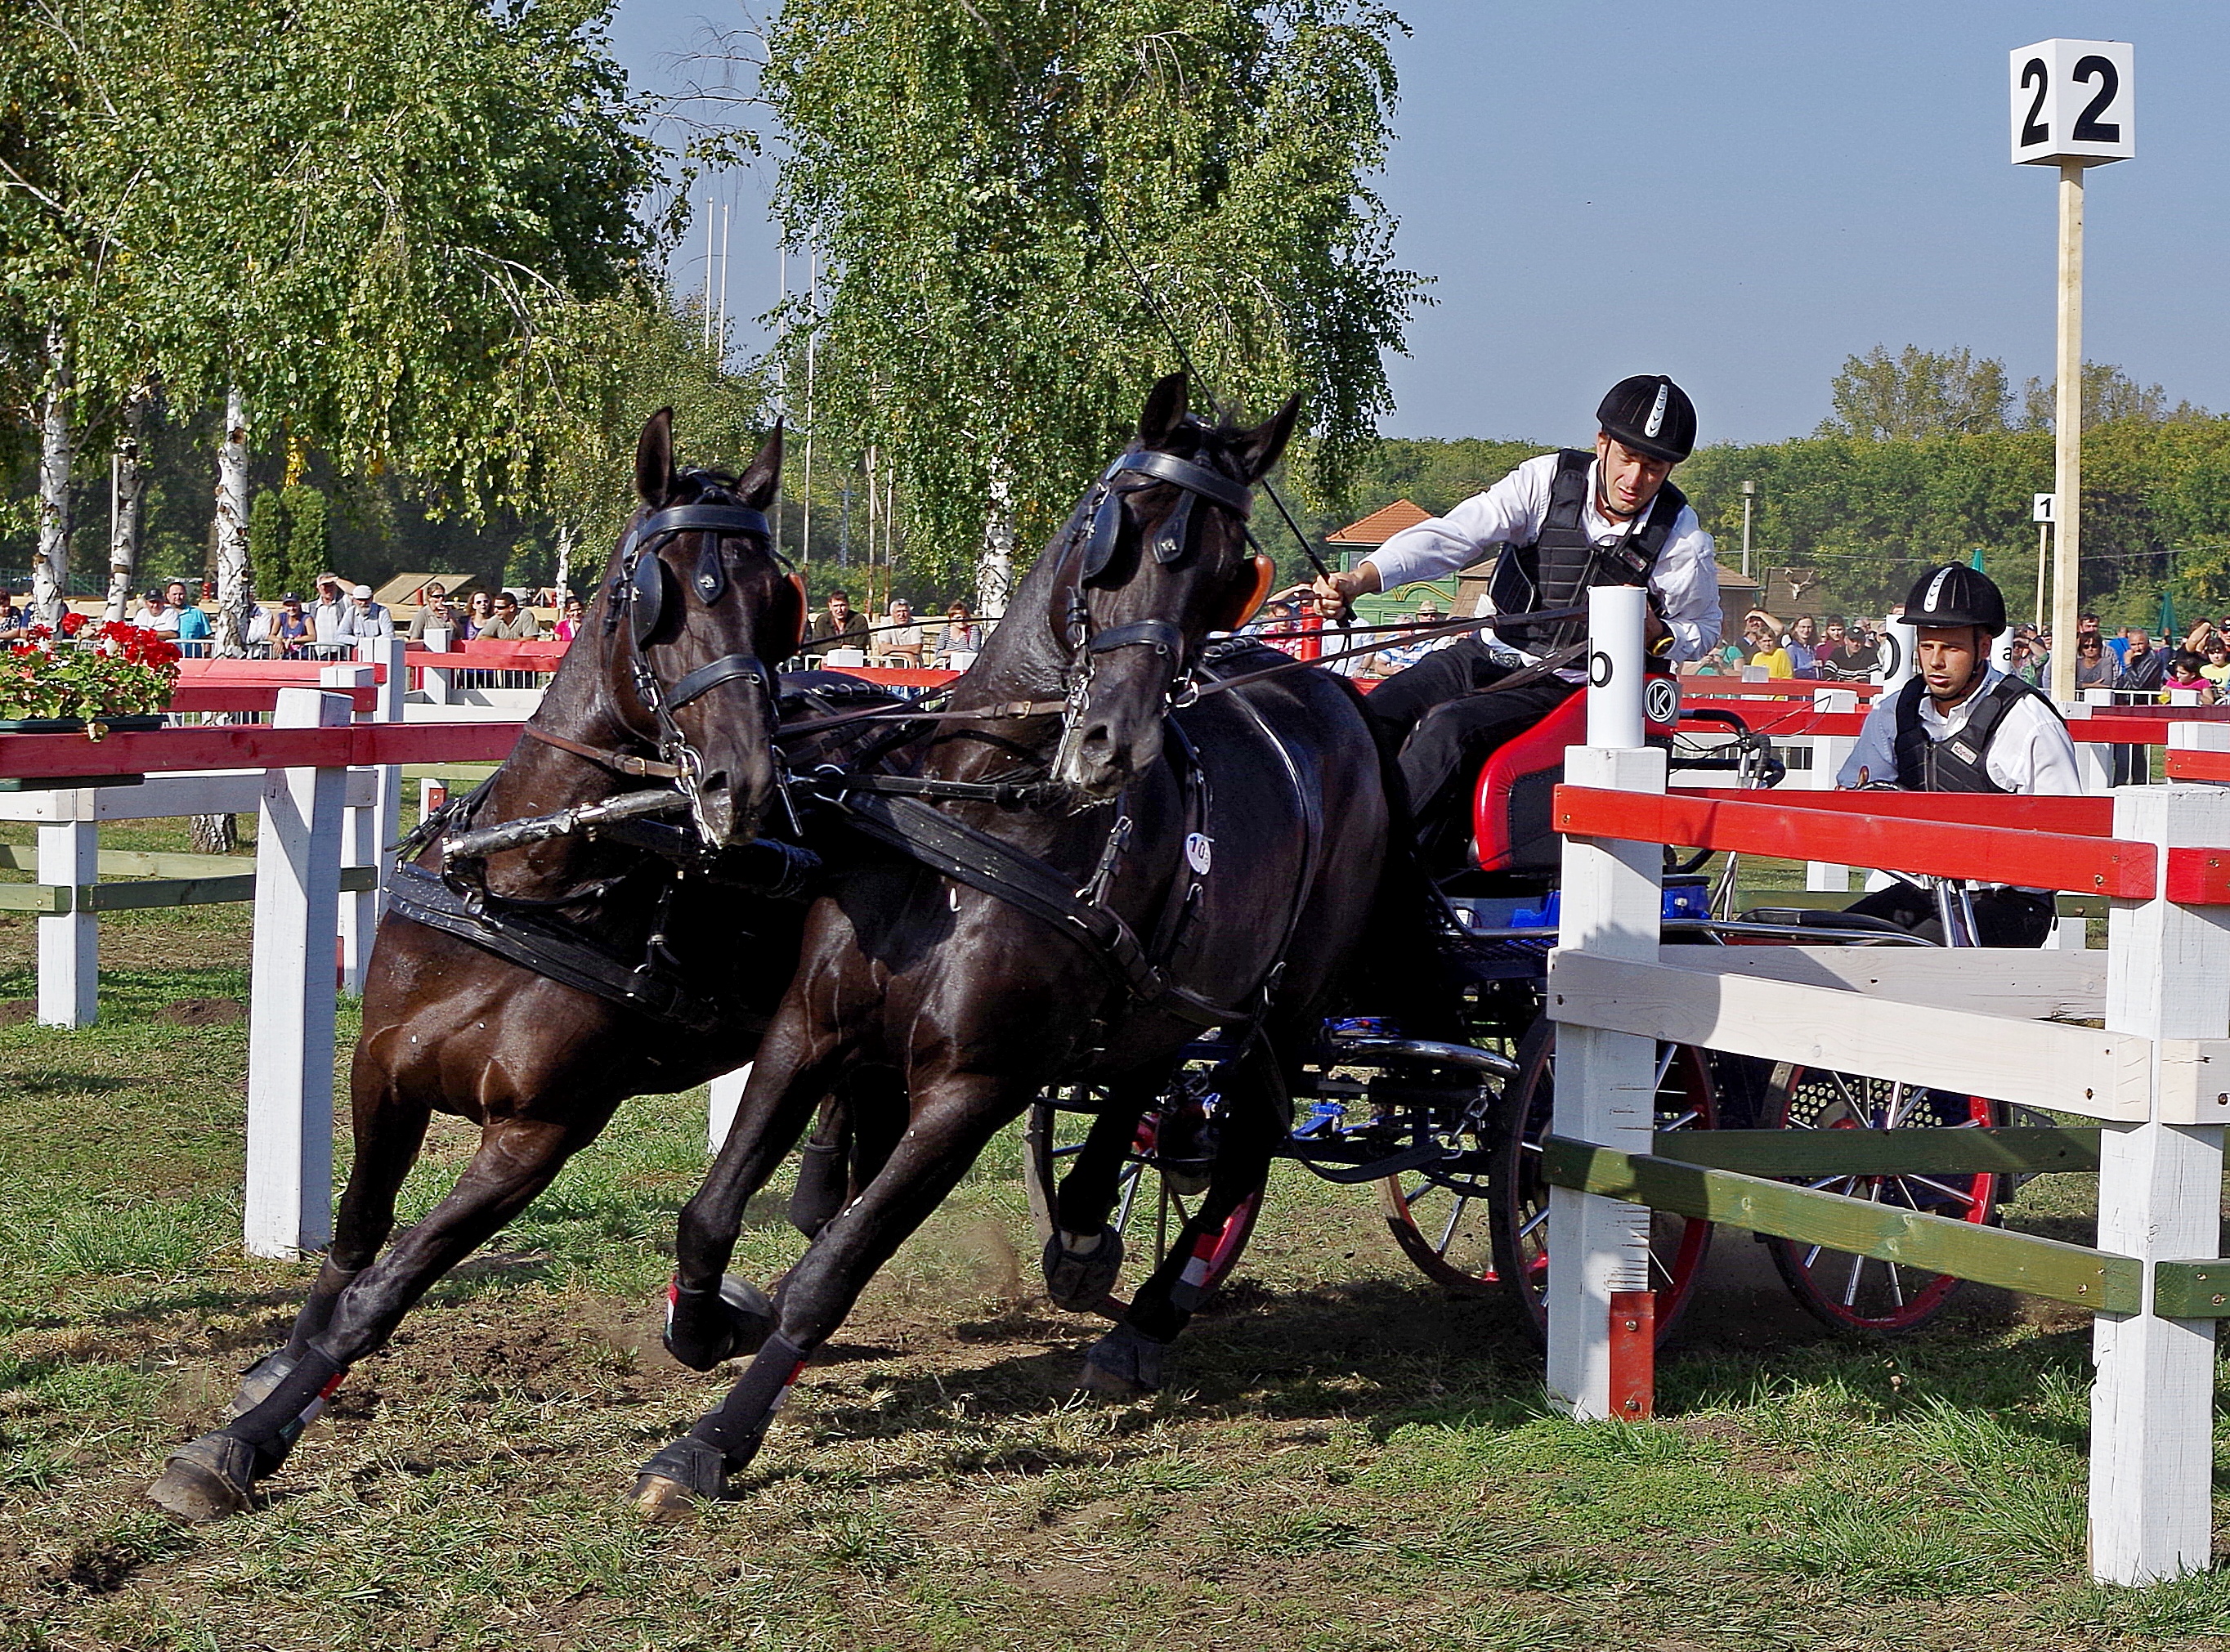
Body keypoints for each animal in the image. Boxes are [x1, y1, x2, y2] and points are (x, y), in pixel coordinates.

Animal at [149, 410, 860, 1521]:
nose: (743, 787)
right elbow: (355, 1234)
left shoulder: (538, 1133)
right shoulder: (384, 1072)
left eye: (773, 600)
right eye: (654, 592)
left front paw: (246, 1443)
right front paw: (281, 1372)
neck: (530, 881)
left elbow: (388, 1285)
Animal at [635, 372, 1438, 1517]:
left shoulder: (974, 1087)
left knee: (1250, 1129)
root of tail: (1339, 697)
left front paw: (711, 1442)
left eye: (1230, 572)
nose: (1113, 742)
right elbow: (712, 1210)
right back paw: (1089, 1230)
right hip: (1172, 985)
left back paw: (1148, 1319)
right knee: (1151, 1078)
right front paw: (700, 1324)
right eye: (1120, 532)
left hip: (1284, 1004)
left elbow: (832, 1272)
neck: (986, 811)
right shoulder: (807, 1029)